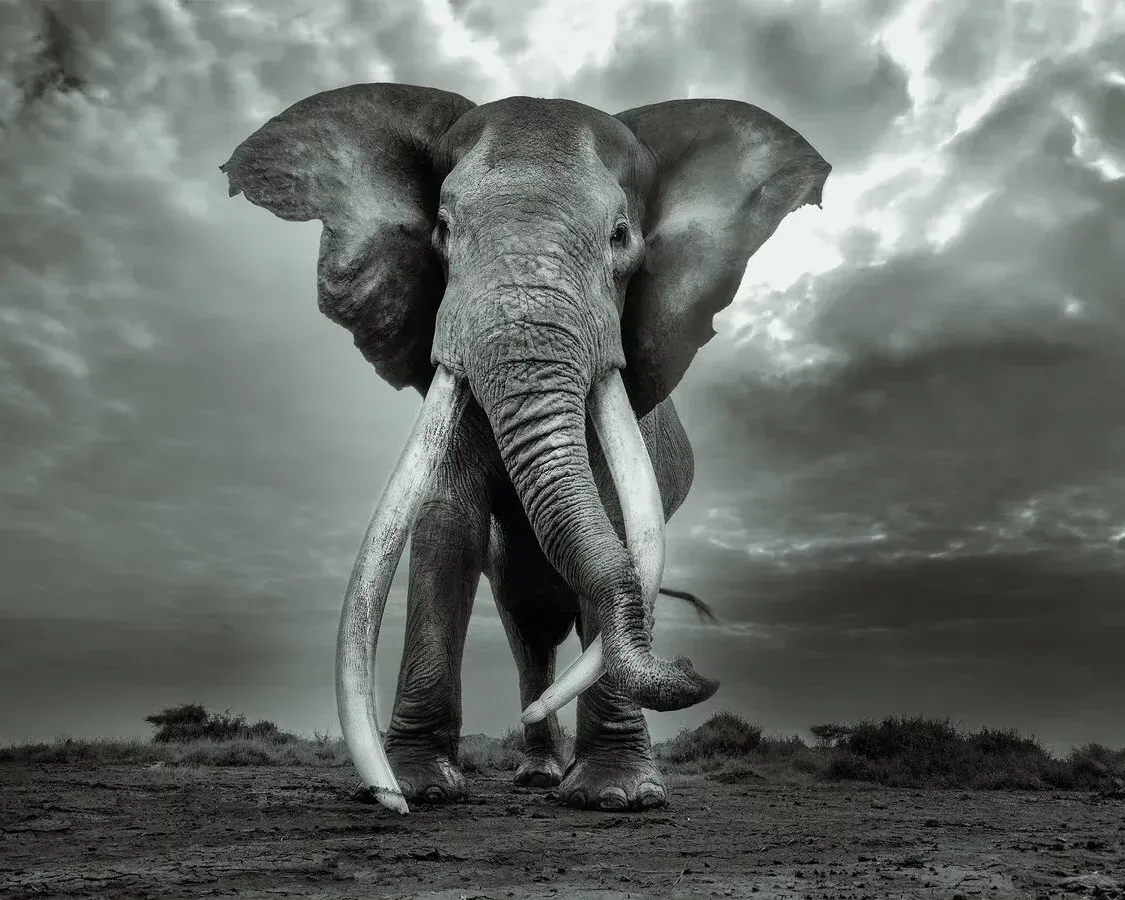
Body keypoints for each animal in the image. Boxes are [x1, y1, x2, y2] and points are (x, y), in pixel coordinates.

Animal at [221, 83, 829, 814]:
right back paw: (538, 772)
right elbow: (444, 525)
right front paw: (420, 789)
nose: (694, 669)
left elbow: (617, 525)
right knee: (527, 624)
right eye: (442, 231)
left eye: (620, 236)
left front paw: (616, 797)